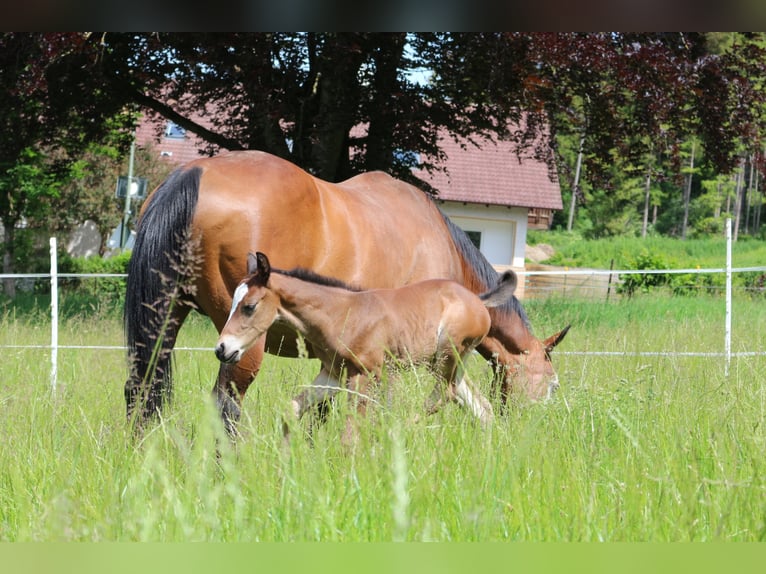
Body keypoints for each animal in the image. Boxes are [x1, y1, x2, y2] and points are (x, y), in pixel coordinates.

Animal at [215, 252, 518, 442]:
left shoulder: (364, 375)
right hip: (448, 363)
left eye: (249, 306)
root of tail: (479, 300)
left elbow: (350, 435)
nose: (222, 349)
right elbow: (291, 409)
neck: (341, 314)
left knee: (444, 394)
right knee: (481, 408)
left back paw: (396, 431)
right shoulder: (333, 375)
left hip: (447, 354)